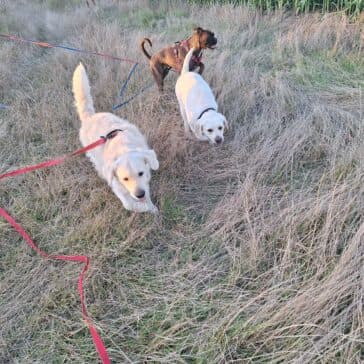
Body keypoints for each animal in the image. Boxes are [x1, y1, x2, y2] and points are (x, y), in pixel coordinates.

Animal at [72, 63, 159, 213]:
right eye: (125, 179)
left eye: (140, 173)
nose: (139, 194)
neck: (123, 148)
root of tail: (90, 117)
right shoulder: (119, 188)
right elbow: (132, 204)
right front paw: (151, 208)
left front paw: (153, 208)